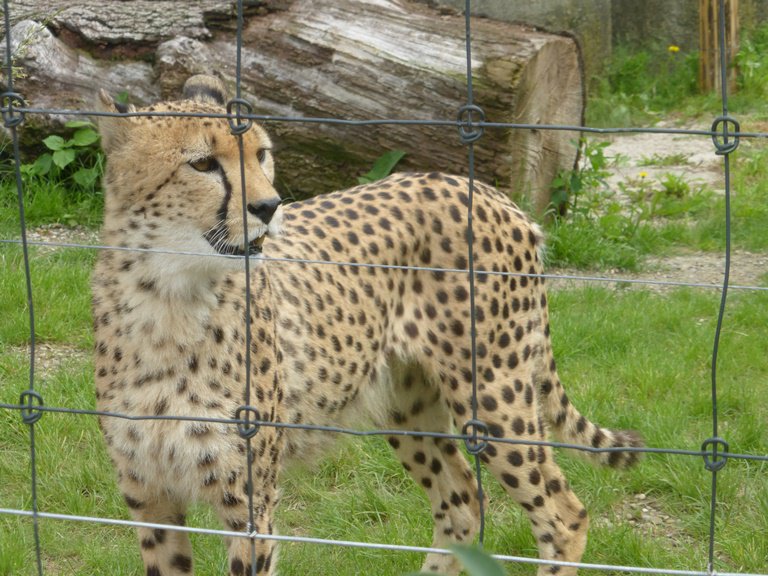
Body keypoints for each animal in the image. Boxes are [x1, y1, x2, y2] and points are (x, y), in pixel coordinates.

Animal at [91, 77, 640, 576]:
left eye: (261, 154)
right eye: (203, 163)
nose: (269, 206)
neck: (167, 298)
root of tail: (484, 189)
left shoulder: (249, 503)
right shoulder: (150, 498)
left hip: (492, 391)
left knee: (562, 514)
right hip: (407, 402)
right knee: (463, 499)